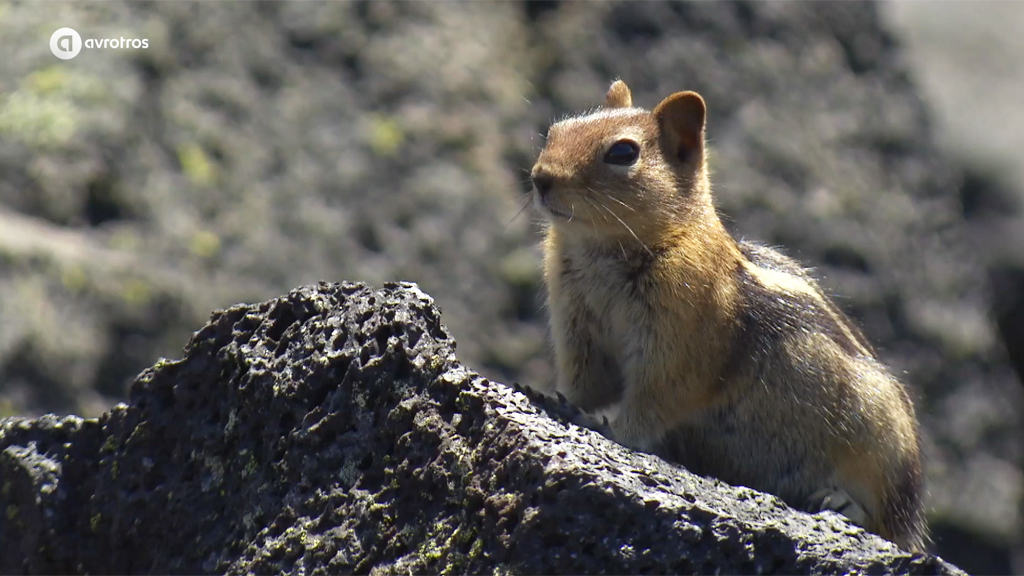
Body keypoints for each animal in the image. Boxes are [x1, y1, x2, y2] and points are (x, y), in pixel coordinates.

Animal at [536, 78, 929, 549]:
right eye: (554, 131)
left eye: (623, 153)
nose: (540, 178)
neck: (602, 248)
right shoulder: (578, 328)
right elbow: (585, 384)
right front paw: (555, 400)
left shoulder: (682, 343)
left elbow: (652, 404)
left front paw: (606, 429)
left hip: (880, 442)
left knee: (884, 520)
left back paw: (841, 503)